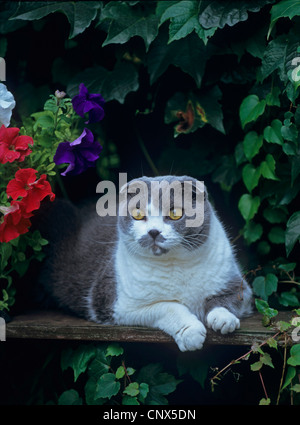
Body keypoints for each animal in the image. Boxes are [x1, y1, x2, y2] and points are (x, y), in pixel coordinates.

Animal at [37, 175, 253, 352]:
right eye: (138, 214)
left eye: (175, 213)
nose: (154, 231)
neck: (175, 264)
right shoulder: (121, 306)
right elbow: (169, 306)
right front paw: (191, 333)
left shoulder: (239, 285)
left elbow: (228, 299)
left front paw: (224, 319)